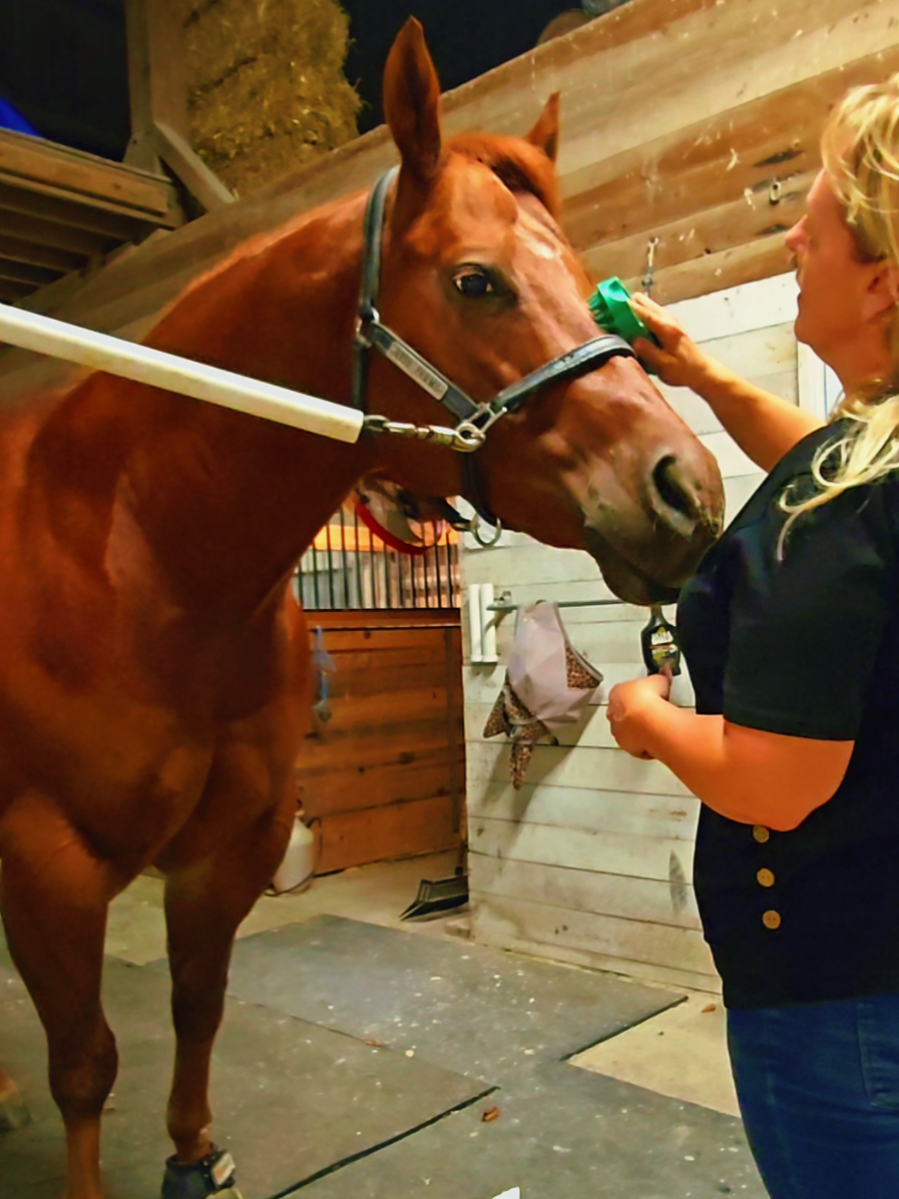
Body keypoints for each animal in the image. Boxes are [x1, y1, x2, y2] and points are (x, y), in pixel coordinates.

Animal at [0, 18, 724, 1199]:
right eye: (475, 281)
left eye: (589, 284)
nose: (686, 492)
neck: (140, 552)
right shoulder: (49, 861)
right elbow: (85, 1062)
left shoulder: (228, 847)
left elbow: (196, 1002)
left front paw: (195, 1155)